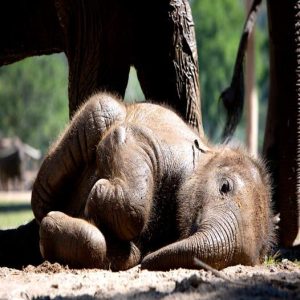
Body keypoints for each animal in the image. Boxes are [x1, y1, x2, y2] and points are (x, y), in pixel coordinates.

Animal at [4, 92, 274, 270]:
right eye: (224, 187)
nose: (149, 261)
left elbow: (121, 251)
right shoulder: (161, 147)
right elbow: (125, 138)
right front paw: (95, 197)